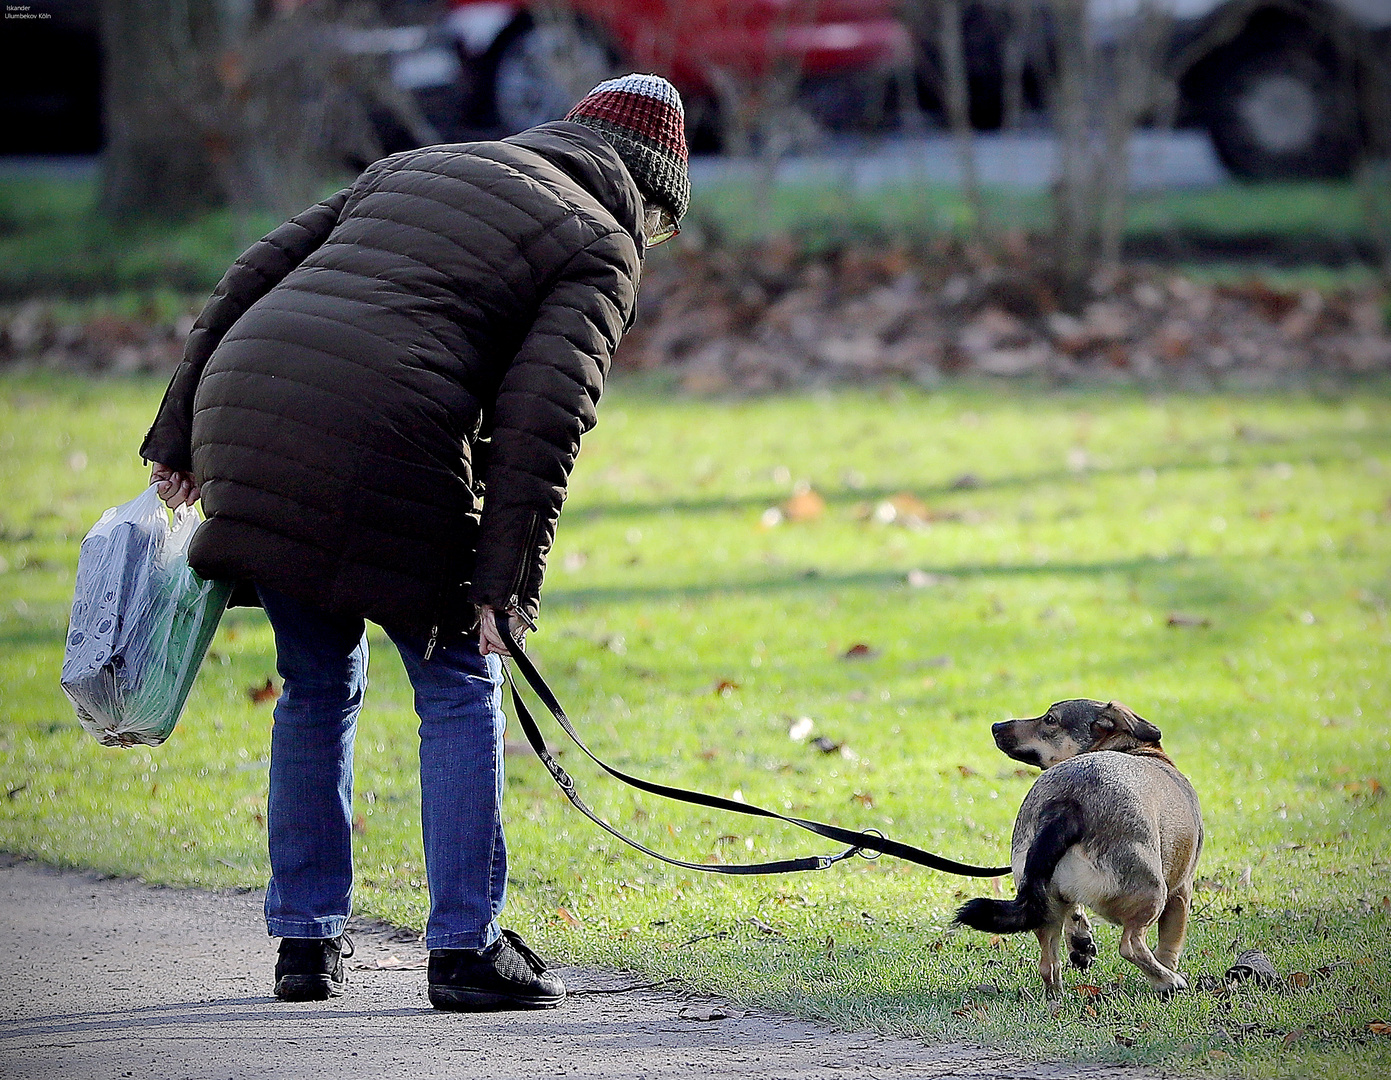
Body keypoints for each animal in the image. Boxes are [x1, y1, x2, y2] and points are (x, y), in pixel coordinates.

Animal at [957, 701, 1207, 996]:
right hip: (1153, 891)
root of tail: (1068, 802)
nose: (995, 726)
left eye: (1050, 719)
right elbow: (1170, 944)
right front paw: (1168, 971)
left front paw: (1080, 941)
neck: (1132, 749)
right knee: (1130, 945)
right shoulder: (1181, 890)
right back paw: (1168, 980)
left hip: (1043, 903)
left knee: (1048, 963)